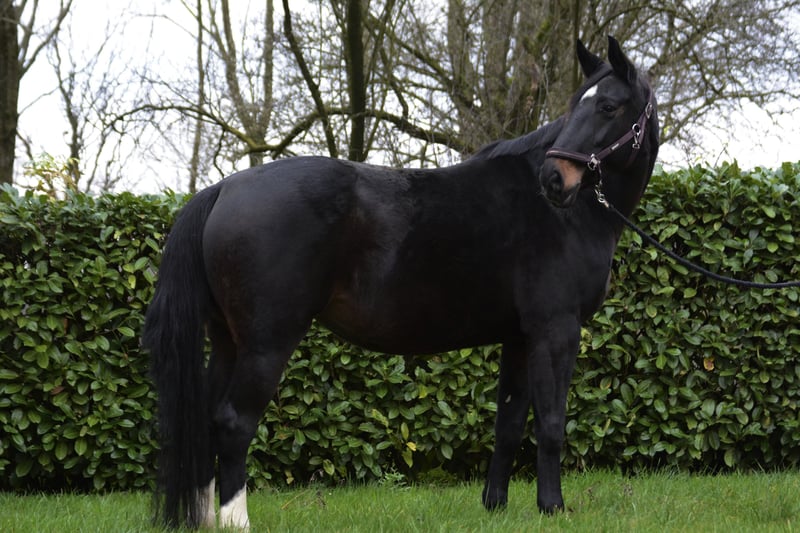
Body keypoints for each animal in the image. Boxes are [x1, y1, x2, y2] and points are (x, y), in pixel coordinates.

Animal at [144, 36, 659, 530]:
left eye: (607, 106)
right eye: (581, 106)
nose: (554, 179)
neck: (568, 216)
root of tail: (223, 189)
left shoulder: (519, 337)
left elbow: (509, 424)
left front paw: (495, 506)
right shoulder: (556, 331)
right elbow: (551, 423)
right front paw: (552, 508)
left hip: (228, 342)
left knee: (205, 422)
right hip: (266, 344)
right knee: (233, 423)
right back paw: (236, 521)